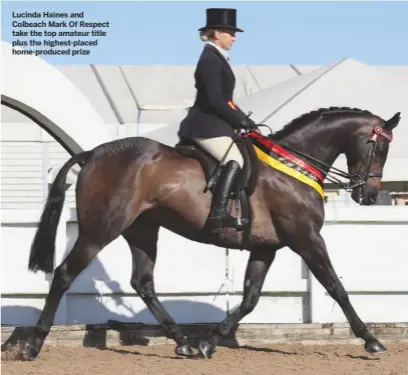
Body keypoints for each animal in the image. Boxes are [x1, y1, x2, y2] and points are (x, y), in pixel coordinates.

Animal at [7, 106, 402, 362]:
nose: (368, 195)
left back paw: (183, 342)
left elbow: (250, 298)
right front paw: (371, 340)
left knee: (143, 282)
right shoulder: (306, 239)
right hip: (100, 229)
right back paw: (33, 345)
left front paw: (210, 341)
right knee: (64, 274)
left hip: (142, 229)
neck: (293, 166)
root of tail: (91, 154)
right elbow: (336, 287)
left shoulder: (267, 248)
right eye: (380, 146)